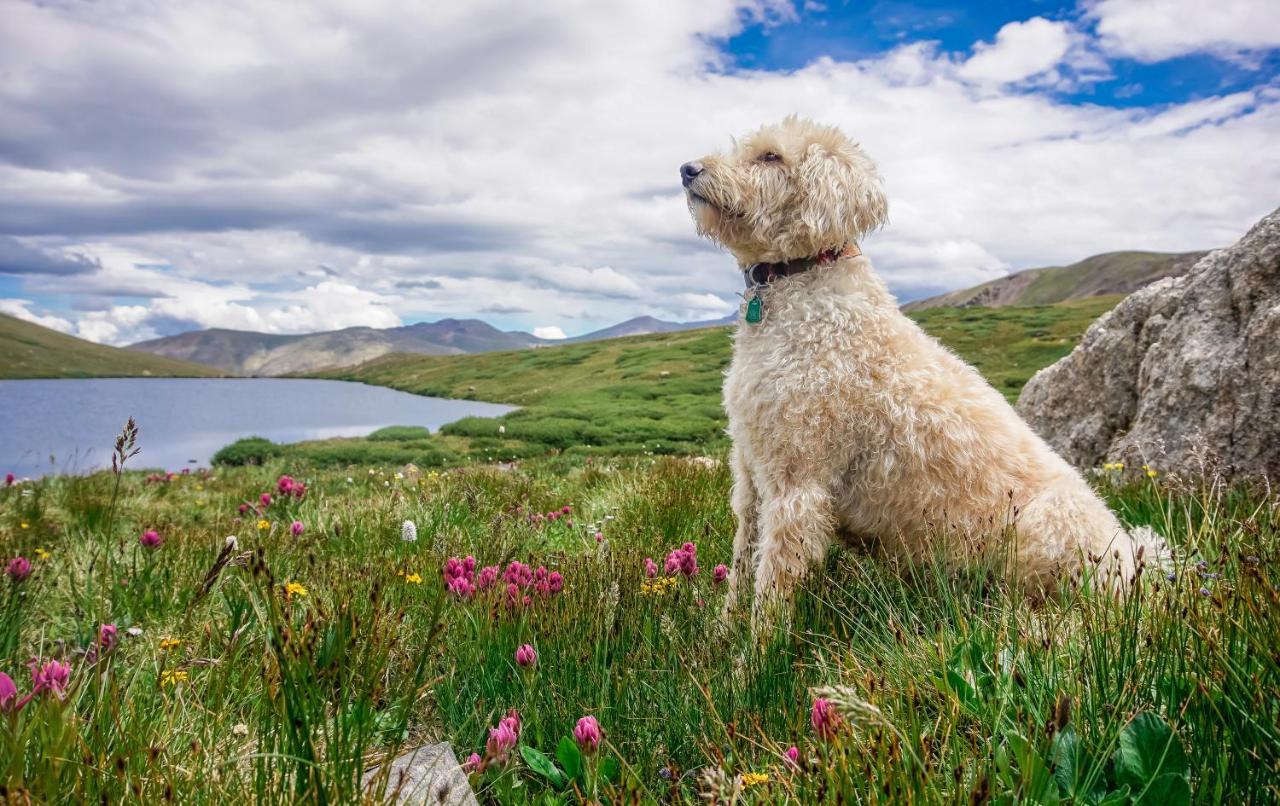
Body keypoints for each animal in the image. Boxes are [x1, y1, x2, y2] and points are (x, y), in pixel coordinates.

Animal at [686, 117, 1167, 629]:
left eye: (771, 156)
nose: (687, 169)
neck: (800, 288)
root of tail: (1136, 565)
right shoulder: (751, 474)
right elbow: (742, 564)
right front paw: (723, 633)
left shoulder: (797, 483)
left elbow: (773, 582)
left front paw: (756, 648)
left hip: (1044, 528)